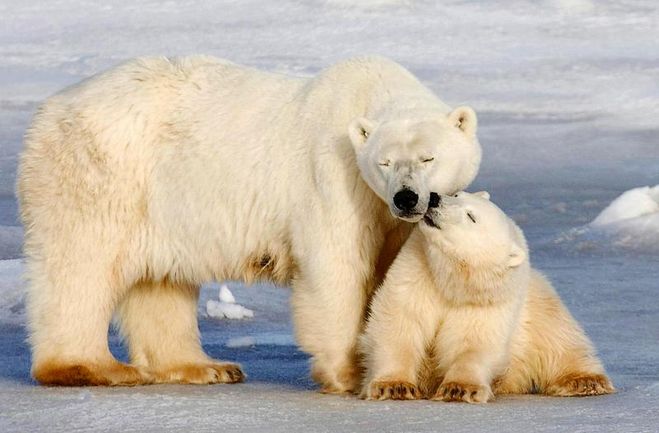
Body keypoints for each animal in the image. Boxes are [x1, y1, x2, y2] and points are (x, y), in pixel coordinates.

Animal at [18, 55, 482, 390]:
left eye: (429, 157)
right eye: (384, 162)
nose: (406, 197)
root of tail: (49, 109)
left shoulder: (388, 215)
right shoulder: (335, 178)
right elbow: (337, 266)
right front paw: (349, 374)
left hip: (163, 203)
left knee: (160, 281)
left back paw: (207, 366)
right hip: (101, 172)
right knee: (82, 265)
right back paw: (93, 367)